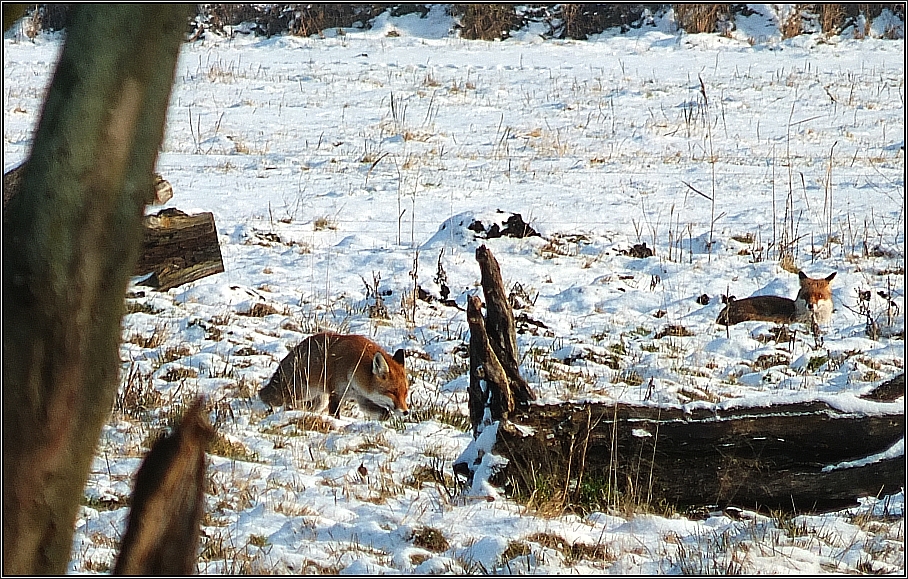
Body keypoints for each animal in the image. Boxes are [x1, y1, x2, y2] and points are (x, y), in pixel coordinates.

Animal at [258, 334, 408, 420]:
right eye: (392, 392)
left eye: (405, 393)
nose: (406, 412)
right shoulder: (336, 393)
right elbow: (336, 416)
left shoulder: (362, 398)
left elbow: (384, 414)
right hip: (300, 393)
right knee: (266, 396)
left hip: (319, 401)